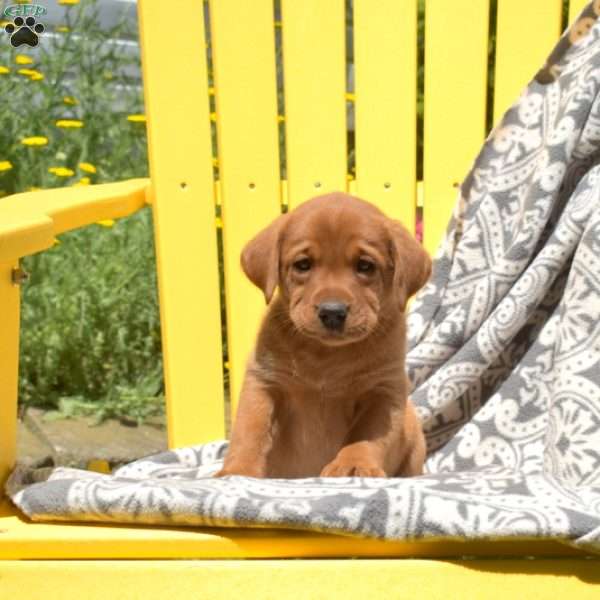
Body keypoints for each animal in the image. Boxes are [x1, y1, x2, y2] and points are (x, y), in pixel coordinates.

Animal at [216, 192, 432, 478]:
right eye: (303, 265)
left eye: (365, 266)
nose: (332, 312)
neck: (325, 356)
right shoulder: (263, 382)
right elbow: (249, 430)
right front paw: (237, 470)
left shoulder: (384, 391)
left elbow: (366, 436)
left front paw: (354, 464)